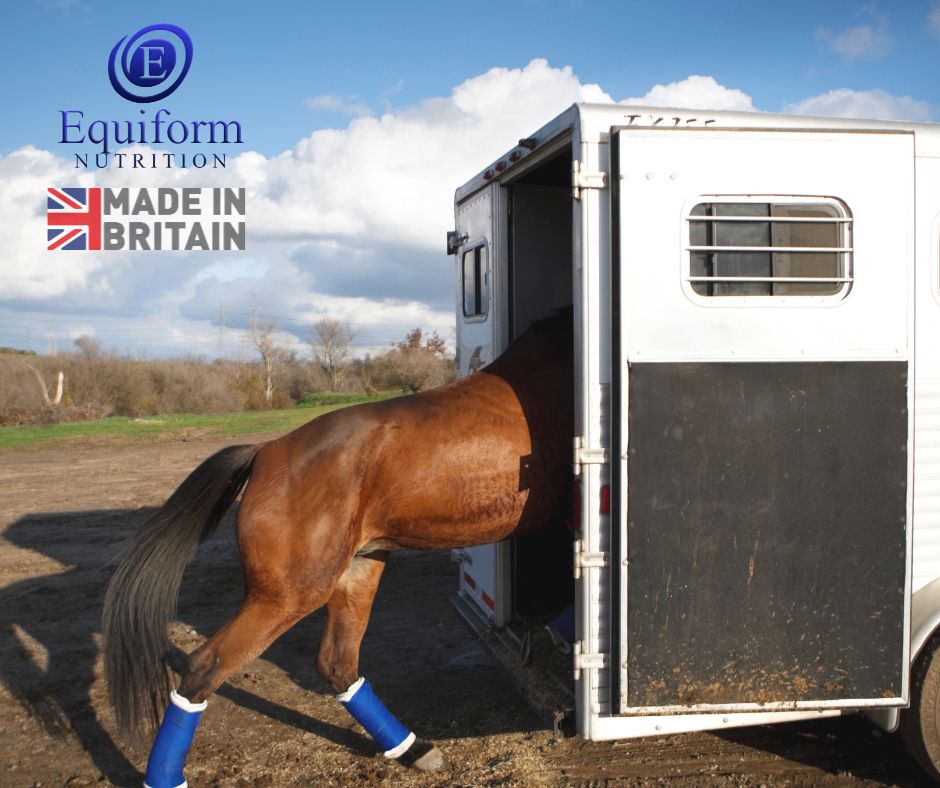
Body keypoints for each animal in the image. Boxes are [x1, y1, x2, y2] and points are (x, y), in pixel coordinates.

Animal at [102, 309, 572, 786]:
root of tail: (266, 452)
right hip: (289, 595)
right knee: (204, 667)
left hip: (358, 569)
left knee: (336, 664)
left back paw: (413, 748)